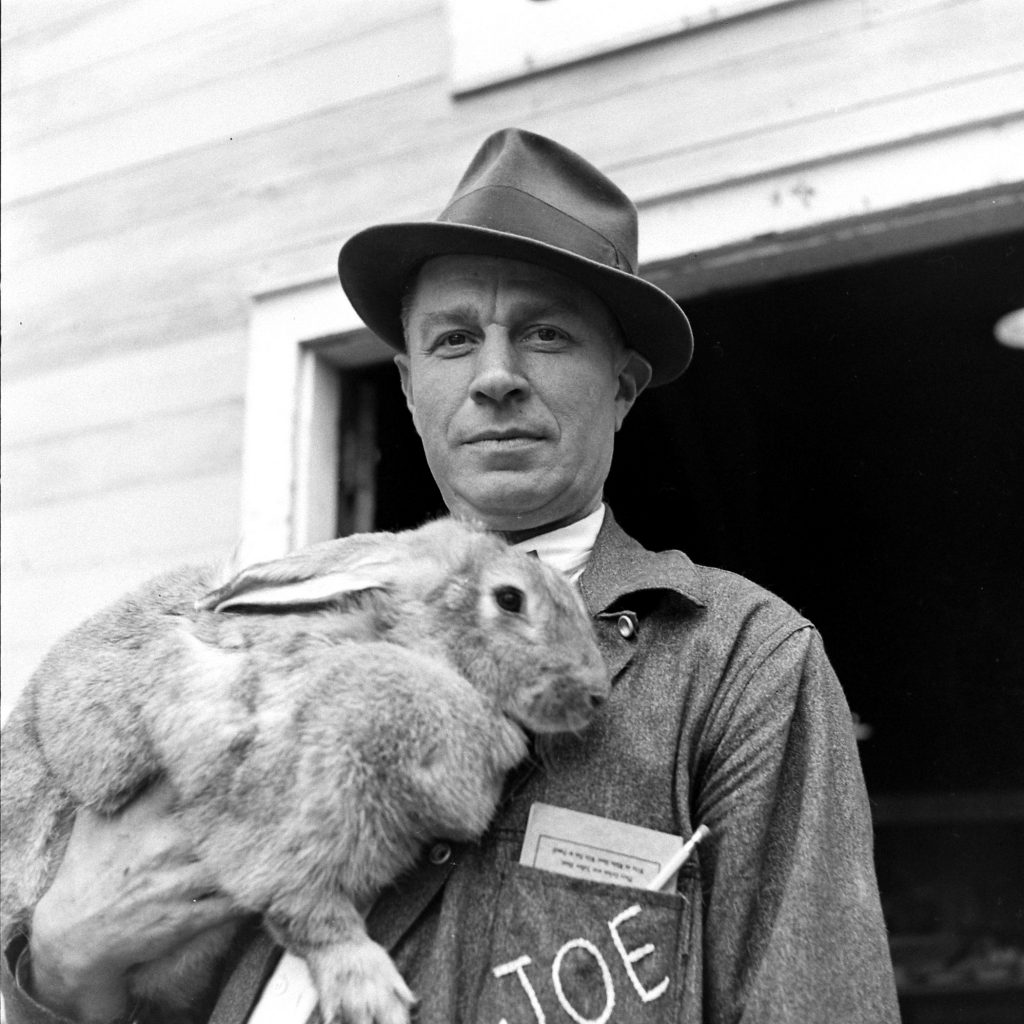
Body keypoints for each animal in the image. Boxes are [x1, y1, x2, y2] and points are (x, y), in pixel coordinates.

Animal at [2, 516, 606, 1024]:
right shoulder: (269, 824)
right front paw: (372, 997)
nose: (598, 694)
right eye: (509, 598)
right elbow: (310, 916)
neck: (403, 643)